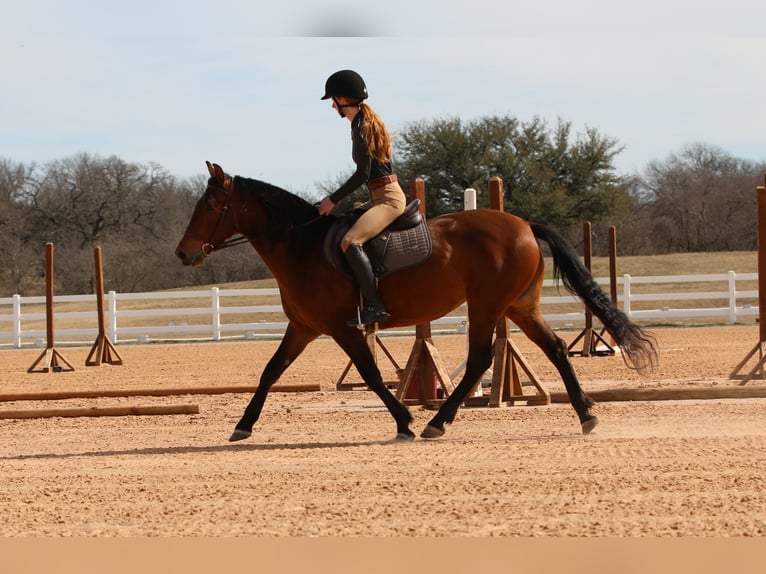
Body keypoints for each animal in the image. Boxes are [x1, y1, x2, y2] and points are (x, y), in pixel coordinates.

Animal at [177, 164, 656, 444]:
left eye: (211, 203)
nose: (184, 254)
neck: (302, 245)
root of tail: (523, 223)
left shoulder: (342, 327)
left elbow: (371, 375)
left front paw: (404, 421)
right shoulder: (304, 327)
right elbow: (270, 371)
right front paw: (242, 425)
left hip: (487, 306)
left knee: (481, 358)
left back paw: (436, 422)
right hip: (519, 307)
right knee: (554, 349)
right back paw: (586, 415)